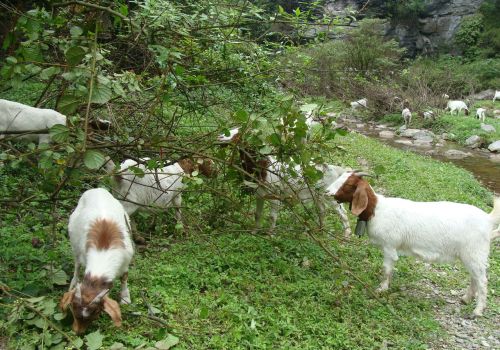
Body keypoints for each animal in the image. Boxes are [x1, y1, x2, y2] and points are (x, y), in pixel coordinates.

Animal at [59, 189, 134, 334]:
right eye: (72, 309)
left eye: (95, 313)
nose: (77, 332)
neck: (103, 251)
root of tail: (97, 189)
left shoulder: (126, 260)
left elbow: (124, 277)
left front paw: (125, 298)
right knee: (76, 264)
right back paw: (73, 282)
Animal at [326, 172, 500, 318]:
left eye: (349, 184)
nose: (327, 192)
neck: (377, 210)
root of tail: (488, 220)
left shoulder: (389, 246)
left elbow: (386, 269)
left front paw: (381, 289)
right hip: (470, 256)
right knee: (474, 277)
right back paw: (465, 299)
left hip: (475, 253)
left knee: (482, 280)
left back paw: (477, 311)